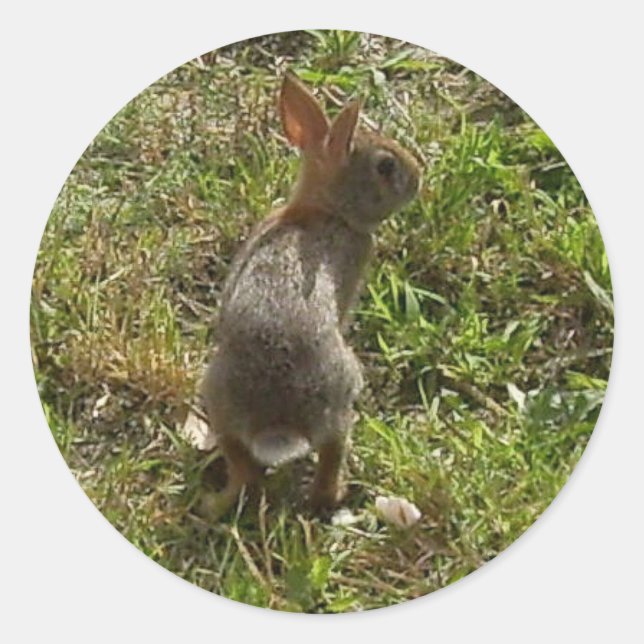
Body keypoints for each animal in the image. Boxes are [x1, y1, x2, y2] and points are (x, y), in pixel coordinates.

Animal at [200, 71, 421, 519]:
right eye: (386, 166)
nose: (419, 178)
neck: (327, 211)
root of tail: (279, 422)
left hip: (218, 400)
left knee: (244, 472)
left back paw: (213, 503)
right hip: (340, 396)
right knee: (332, 454)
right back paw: (337, 493)